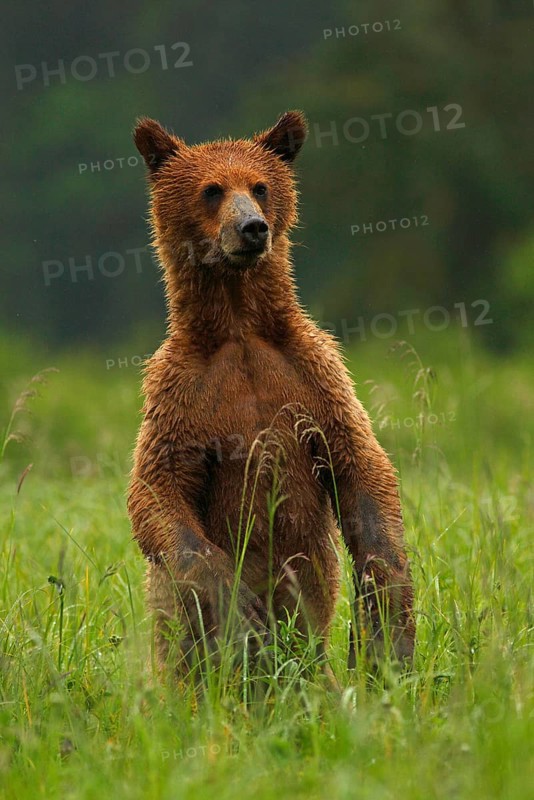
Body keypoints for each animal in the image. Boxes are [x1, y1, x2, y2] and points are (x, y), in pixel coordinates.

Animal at [127, 110, 415, 677]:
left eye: (260, 186)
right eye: (212, 189)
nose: (252, 228)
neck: (240, 328)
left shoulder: (315, 377)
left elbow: (363, 467)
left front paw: (387, 628)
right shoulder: (181, 395)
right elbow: (157, 491)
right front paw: (241, 609)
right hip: (177, 633)